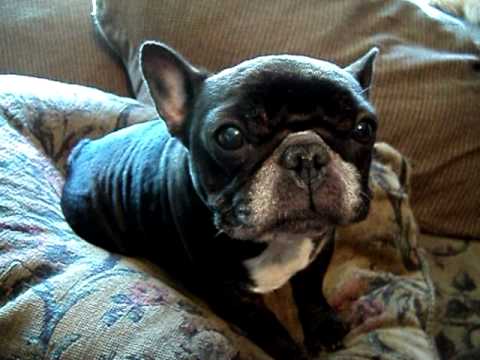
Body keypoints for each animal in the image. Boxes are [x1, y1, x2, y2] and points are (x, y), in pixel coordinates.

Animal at [62, 43, 378, 360]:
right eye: (229, 136)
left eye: (364, 129)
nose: (306, 154)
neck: (280, 241)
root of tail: (82, 149)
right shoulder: (231, 297)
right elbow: (270, 330)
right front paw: (292, 353)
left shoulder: (320, 249)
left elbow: (311, 291)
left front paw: (324, 327)